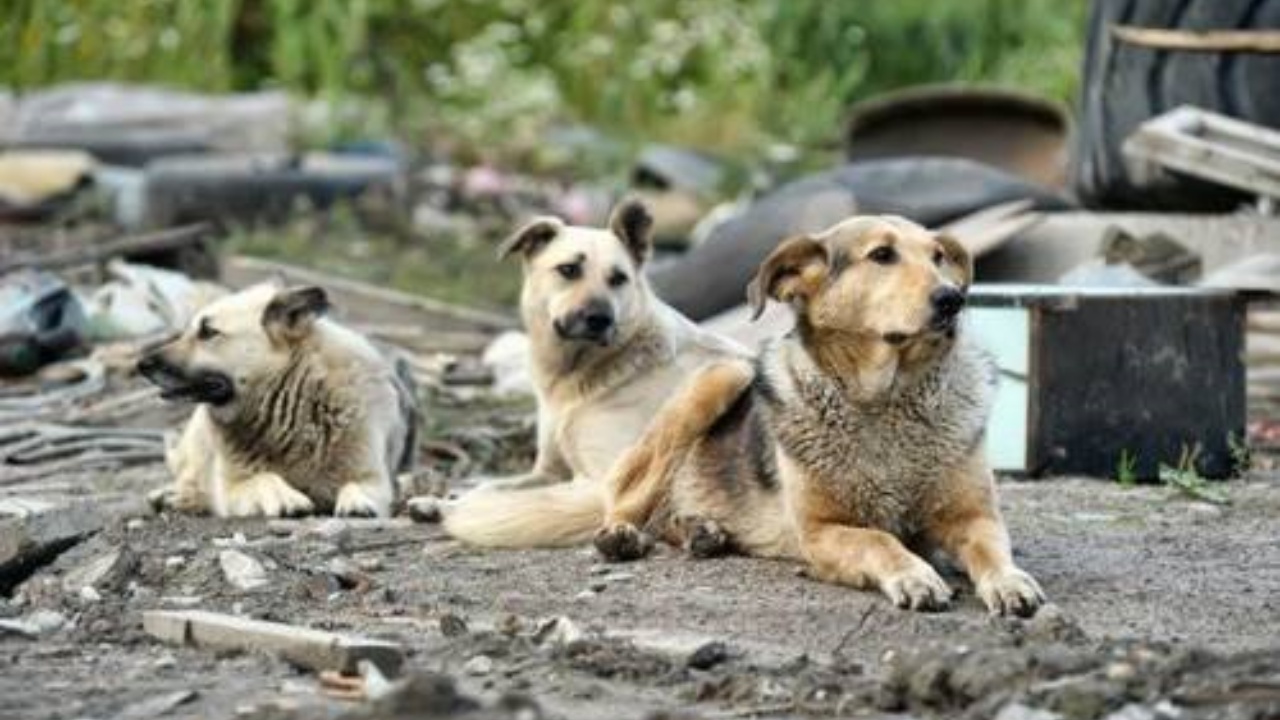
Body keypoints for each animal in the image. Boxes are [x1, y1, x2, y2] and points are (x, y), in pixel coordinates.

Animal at [138, 280, 414, 515]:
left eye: (208, 332)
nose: (142, 365)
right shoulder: (234, 487)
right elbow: (265, 477)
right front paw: (287, 498)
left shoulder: (372, 476)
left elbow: (356, 485)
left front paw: (358, 500)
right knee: (189, 478)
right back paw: (176, 496)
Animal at [442, 196, 747, 543]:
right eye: (569, 269)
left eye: (618, 278)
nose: (600, 319)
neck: (576, 378)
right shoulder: (547, 471)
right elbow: (491, 487)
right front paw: (439, 501)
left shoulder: (599, 475)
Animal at [591, 215, 1049, 614]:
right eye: (882, 254)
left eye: (938, 257)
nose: (954, 299)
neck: (886, 400)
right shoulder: (819, 530)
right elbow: (878, 540)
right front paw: (914, 575)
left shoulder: (974, 516)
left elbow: (993, 550)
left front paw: (1009, 581)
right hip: (725, 374)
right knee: (628, 496)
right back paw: (622, 535)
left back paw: (701, 531)